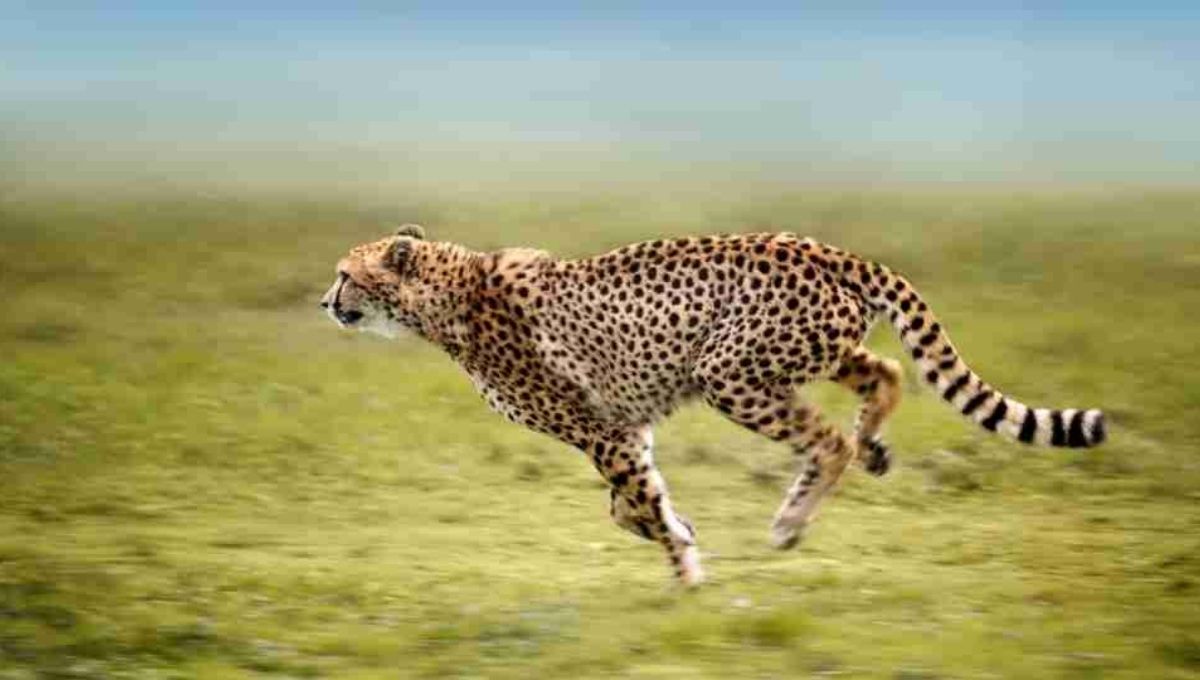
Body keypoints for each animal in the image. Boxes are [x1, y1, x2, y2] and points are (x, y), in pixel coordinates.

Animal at [320, 223, 1106, 586]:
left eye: (345, 274)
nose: (326, 301)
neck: (447, 295)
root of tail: (818, 247)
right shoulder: (623, 427)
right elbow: (629, 505)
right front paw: (681, 532)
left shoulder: (602, 431)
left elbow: (633, 501)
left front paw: (687, 575)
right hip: (809, 351)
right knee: (884, 372)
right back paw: (875, 448)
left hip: (731, 372)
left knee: (828, 439)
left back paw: (792, 520)